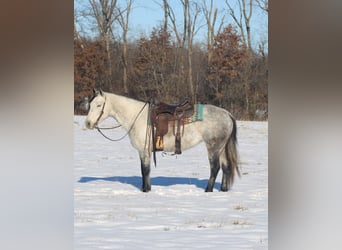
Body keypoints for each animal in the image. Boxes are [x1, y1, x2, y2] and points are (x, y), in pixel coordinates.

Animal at [85, 89, 240, 192]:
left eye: (99, 105)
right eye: (90, 104)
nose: (88, 123)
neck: (137, 117)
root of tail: (226, 113)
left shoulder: (145, 150)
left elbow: (145, 170)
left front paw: (146, 190)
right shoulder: (143, 152)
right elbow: (144, 170)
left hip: (213, 147)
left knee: (215, 168)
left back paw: (208, 190)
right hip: (221, 148)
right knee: (226, 167)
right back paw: (223, 189)